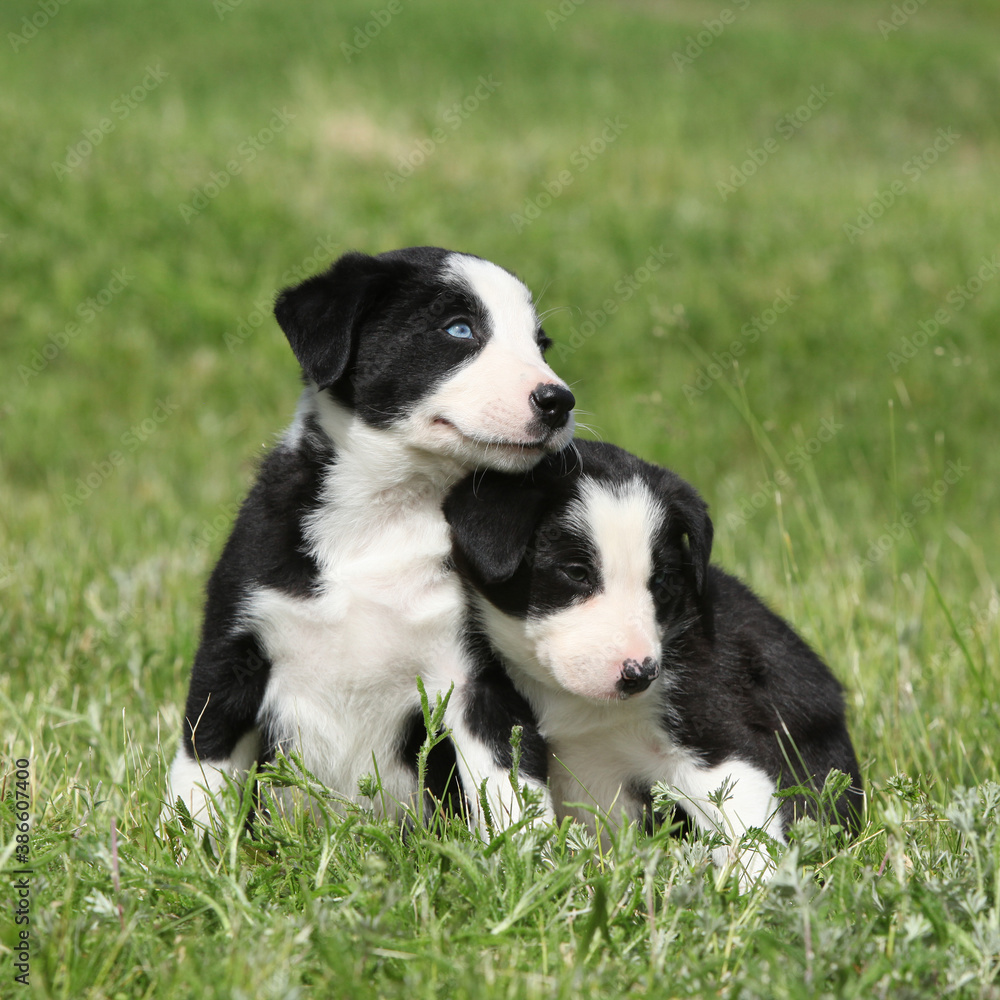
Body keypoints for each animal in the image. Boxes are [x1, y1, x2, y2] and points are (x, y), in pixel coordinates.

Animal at [164, 246, 575, 835]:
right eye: (459, 329)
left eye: (540, 344)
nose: (559, 400)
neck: (387, 515)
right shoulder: (233, 651)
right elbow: (201, 770)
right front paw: (186, 851)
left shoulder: (479, 679)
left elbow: (513, 788)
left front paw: (534, 857)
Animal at [444, 439, 864, 884]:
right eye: (576, 572)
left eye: (661, 582)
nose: (640, 673)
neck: (576, 704)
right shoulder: (491, 710)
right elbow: (509, 803)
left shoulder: (715, 729)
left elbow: (745, 823)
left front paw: (762, 891)